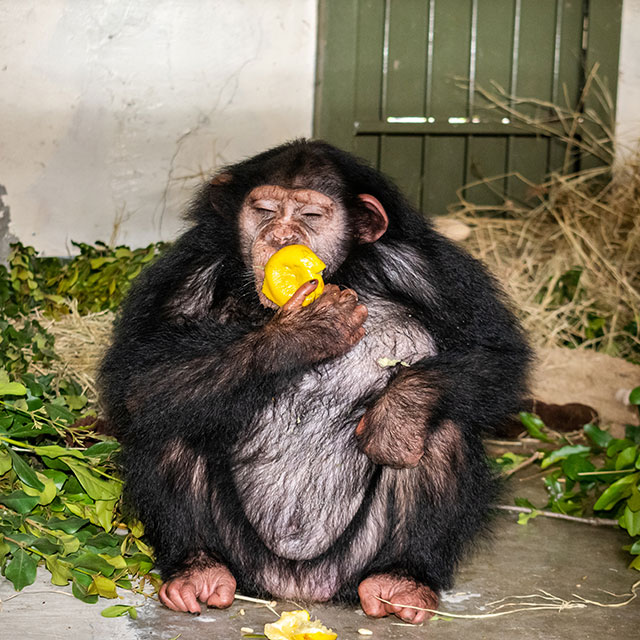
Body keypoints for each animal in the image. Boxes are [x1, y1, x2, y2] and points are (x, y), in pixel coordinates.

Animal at [98, 139, 531, 624]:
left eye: (310, 215)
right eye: (264, 209)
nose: (282, 235)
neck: (342, 273)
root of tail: (299, 588)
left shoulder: (428, 268)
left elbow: (495, 353)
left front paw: (397, 412)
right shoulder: (186, 273)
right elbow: (139, 378)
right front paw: (304, 331)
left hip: (356, 557)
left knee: (439, 430)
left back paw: (403, 578)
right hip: (245, 556)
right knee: (175, 418)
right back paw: (198, 570)